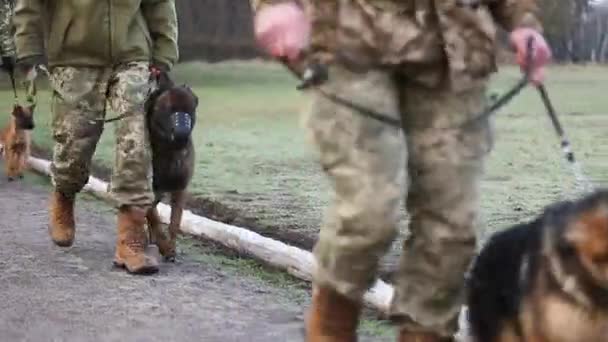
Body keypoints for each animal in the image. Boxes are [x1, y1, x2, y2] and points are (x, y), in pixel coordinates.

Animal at [144, 71, 197, 260]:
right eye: (168, 109)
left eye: (191, 109)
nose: (181, 135)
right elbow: (155, 219)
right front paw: (164, 247)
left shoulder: (181, 188)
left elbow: (175, 222)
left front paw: (171, 249)